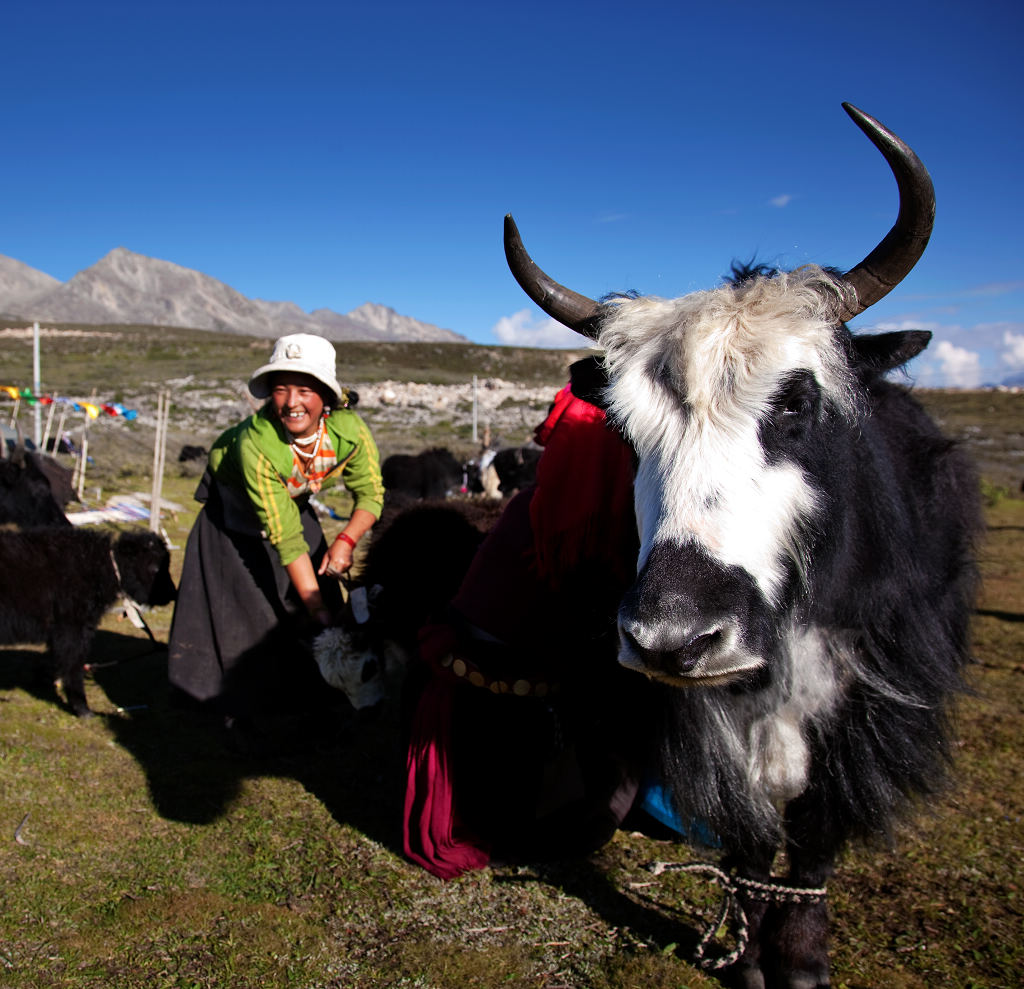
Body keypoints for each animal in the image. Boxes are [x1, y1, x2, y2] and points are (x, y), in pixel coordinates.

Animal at [0, 532, 176, 716]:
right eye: (155, 568)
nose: (173, 593)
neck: (100, 567)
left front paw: (44, 677)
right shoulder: (73, 629)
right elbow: (73, 664)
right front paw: (82, 708)